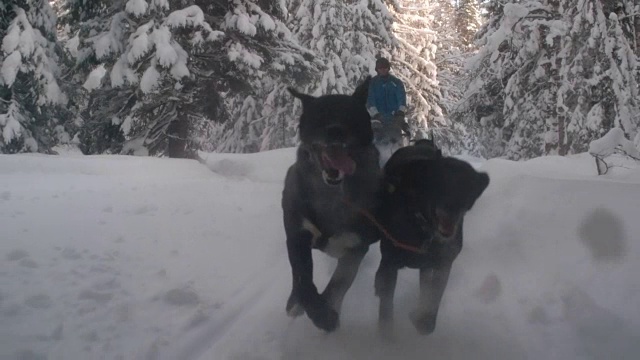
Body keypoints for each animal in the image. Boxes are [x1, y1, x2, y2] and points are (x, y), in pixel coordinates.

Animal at [282, 78, 382, 332]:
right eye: (319, 115)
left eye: (350, 115)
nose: (335, 130)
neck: (332, 195)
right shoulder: (297, 234)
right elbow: (302, 278)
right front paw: (315, 310)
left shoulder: (355, 247)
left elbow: (338, 284)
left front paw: (327, 314)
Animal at [372, 141, 488, 334]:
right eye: (440, 181)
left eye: (467, 186)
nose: (453, 206)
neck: (425, 229)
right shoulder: (390, 264)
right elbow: (386, 308)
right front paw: (386, 334)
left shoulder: (444, 263)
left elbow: (433, 298)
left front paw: (423, 318)